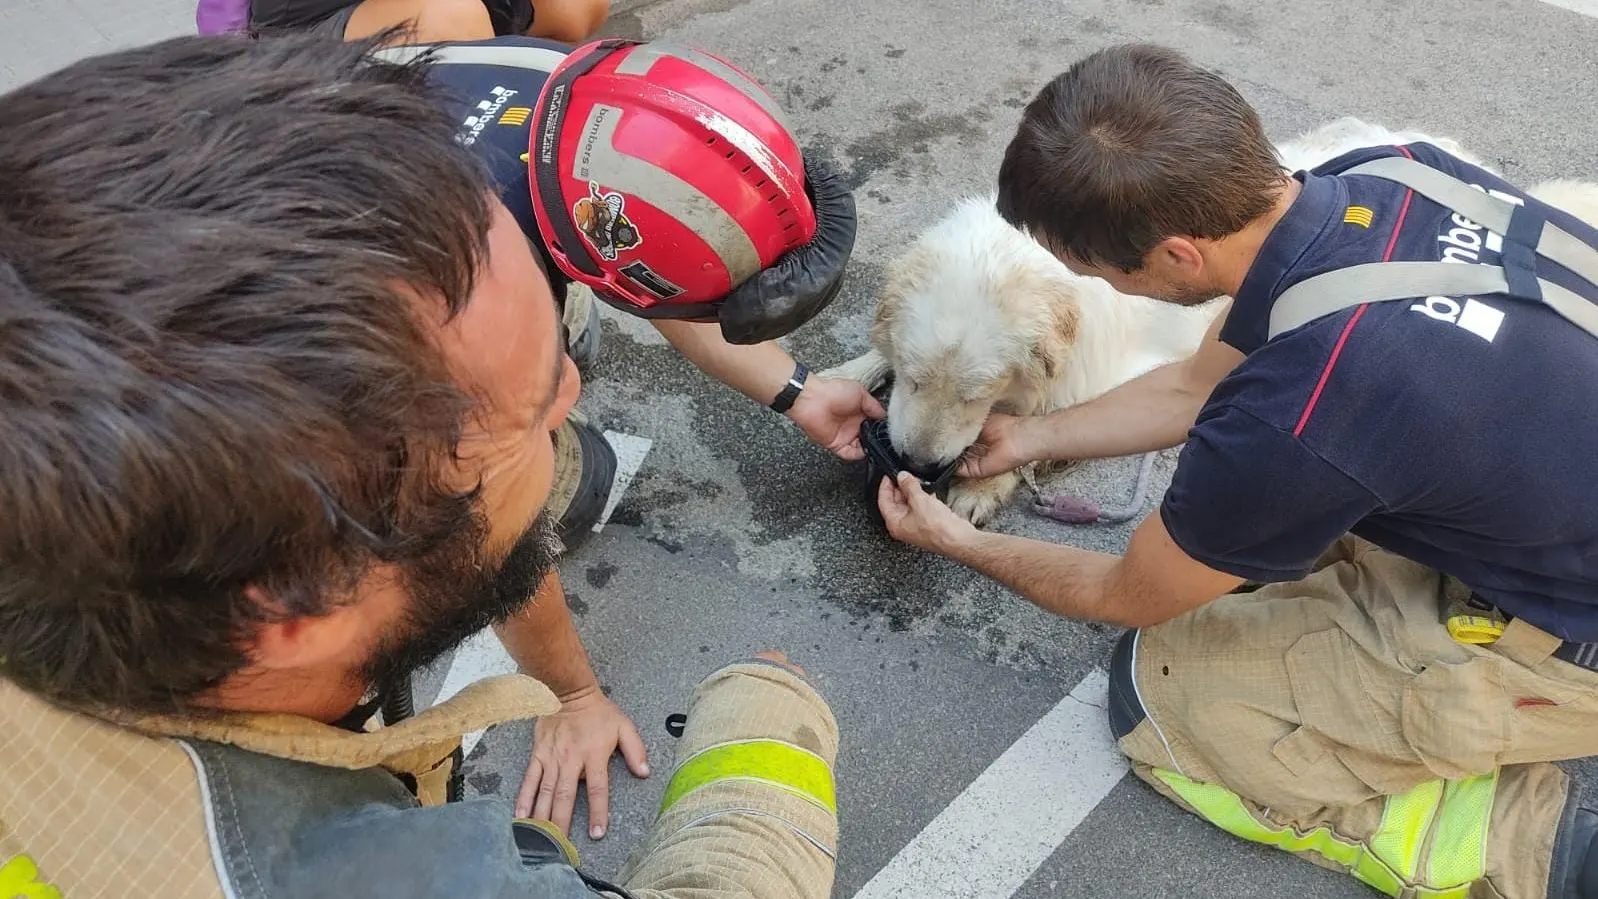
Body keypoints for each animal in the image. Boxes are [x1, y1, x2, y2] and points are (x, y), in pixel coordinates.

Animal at [830, 118, 1598, 526]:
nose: (918, 464)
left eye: (976, 393)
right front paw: (845, 376)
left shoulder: (1118, 374)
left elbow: (1052, 420)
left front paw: (983, 483)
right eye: (918, 378)